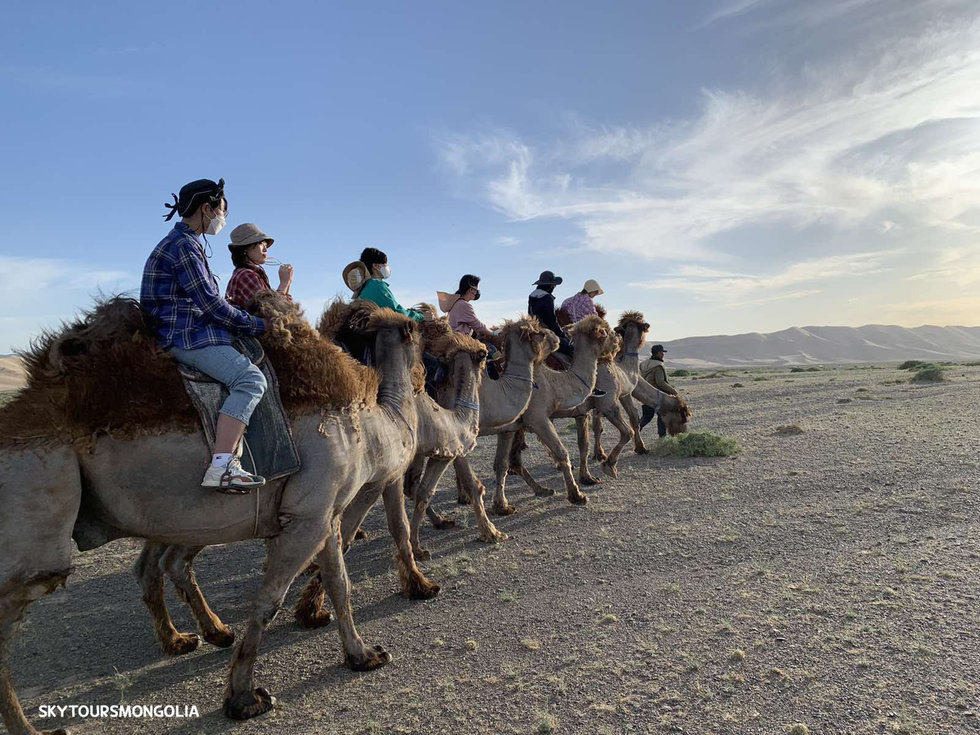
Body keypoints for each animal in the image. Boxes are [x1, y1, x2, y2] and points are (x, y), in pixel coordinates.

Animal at [0, 292, 436, 732]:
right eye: (419, 328)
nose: (430, 372)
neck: (374, 425)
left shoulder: (318, 514)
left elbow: (339, 583)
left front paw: (363, 655)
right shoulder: (306, 519)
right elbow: (268, 601)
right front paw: (245, 697)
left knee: (157, 566)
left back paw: (190, 637)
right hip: (40, 513)